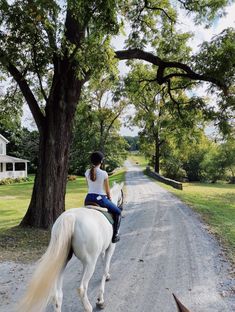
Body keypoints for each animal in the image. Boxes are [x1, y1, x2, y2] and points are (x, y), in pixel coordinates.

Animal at [18, 182, 124, 310]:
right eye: (122, 193)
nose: (121, 208)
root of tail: (70, 217)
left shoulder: (103, 249)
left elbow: (104, 264)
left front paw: (107, 277)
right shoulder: (111, 247)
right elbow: (105, 268)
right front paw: (100, 300)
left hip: (61, 261)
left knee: (57, 295)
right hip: (89, 262)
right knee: (82, 288)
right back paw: (88, 307)